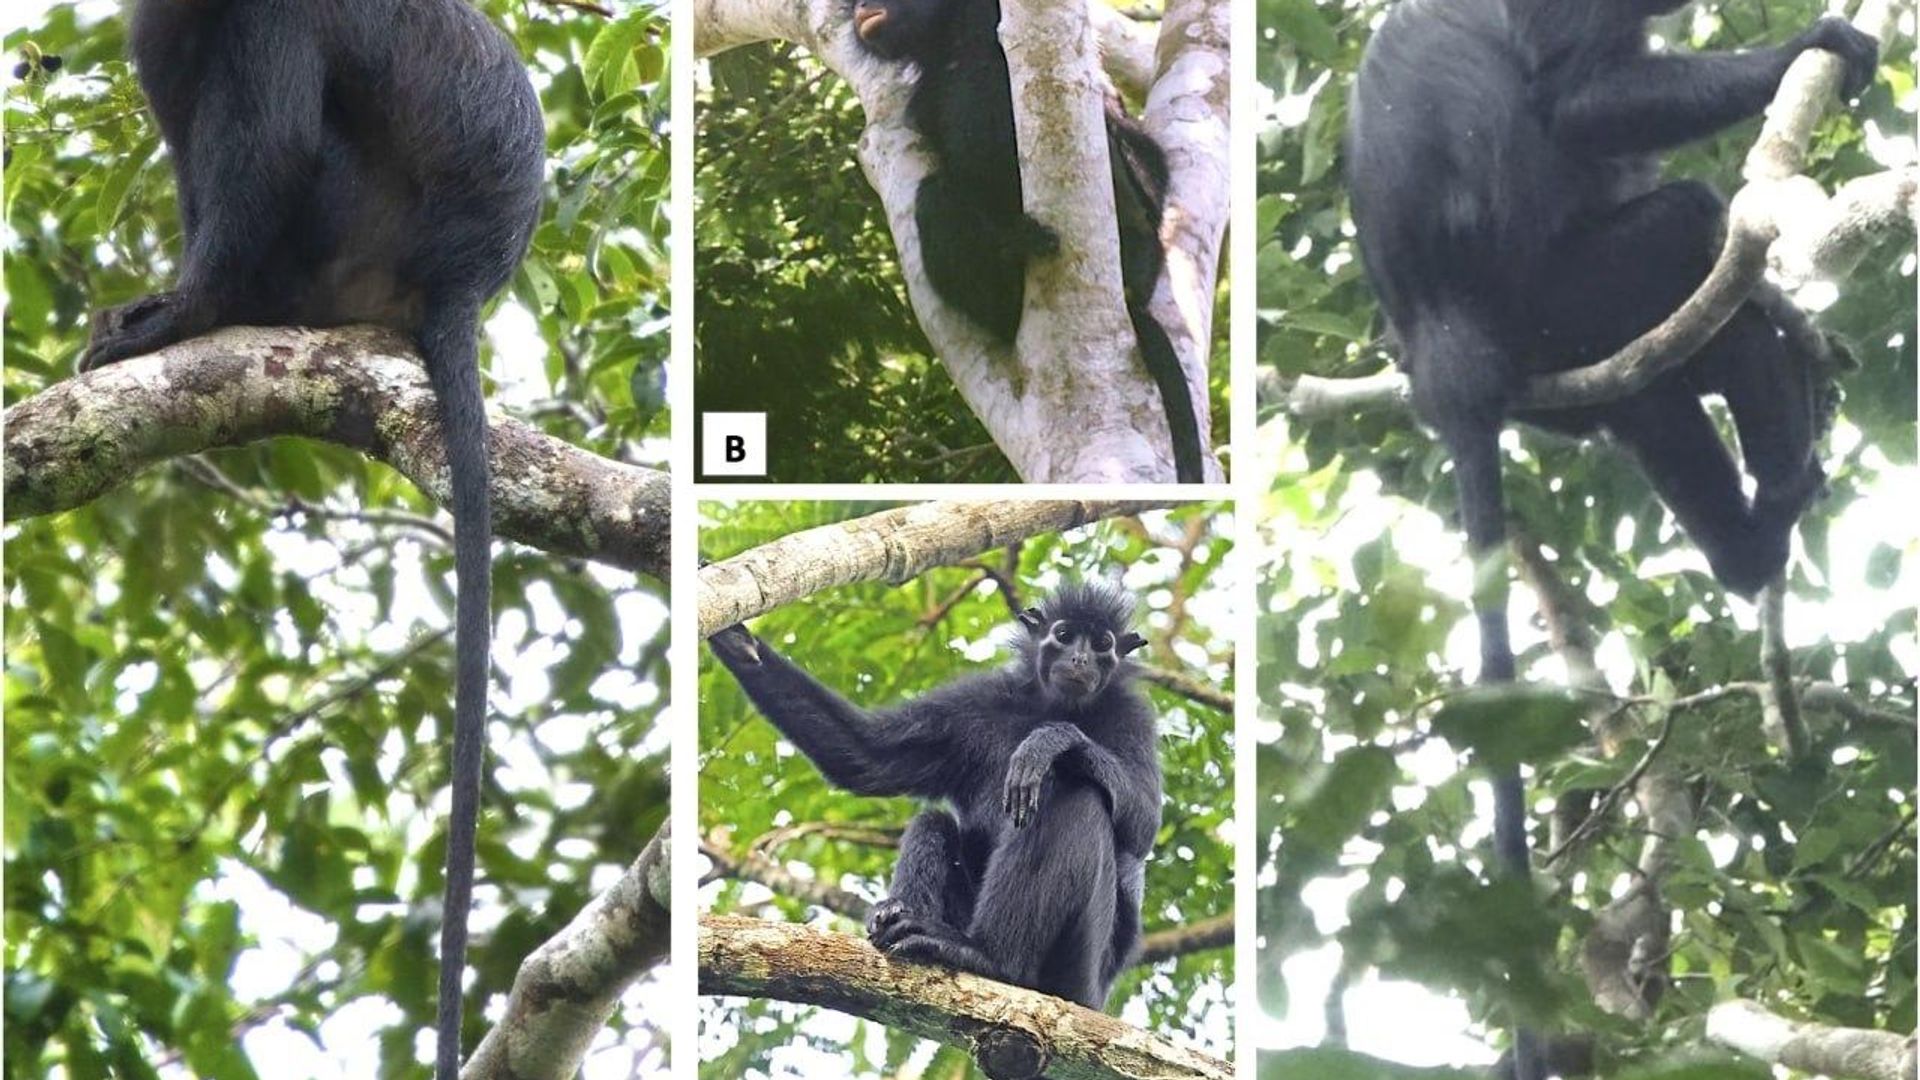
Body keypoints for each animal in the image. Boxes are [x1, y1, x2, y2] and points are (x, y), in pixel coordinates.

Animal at [707, 581, 1164, 1008]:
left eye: (1102, 644)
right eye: (1065, 635)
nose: (1081, 659)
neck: (1056, 706)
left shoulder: (1133, 715)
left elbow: (1143, 824)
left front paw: (1049, 741)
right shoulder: (976, 703)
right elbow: (866, 757)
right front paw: (739, 643)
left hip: (1083, 970)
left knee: (1078, 796)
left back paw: (990, 957)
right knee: (934, 820)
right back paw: (902, 919)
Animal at [1345, 3, 1876, 1076]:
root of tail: (1443, 348)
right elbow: (1578, 101)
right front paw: (1821, 45)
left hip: (1559, 369)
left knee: (1649, 398)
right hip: (1560, 301)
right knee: (1689, 226)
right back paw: (1772, 508)